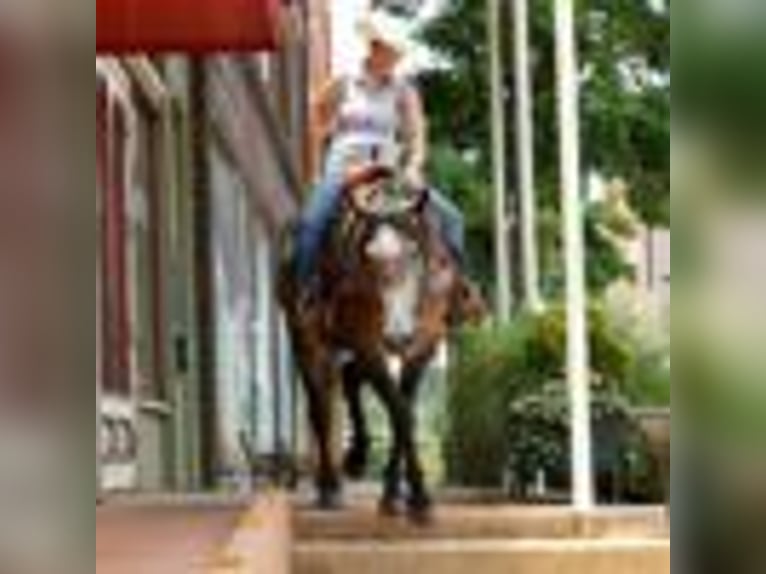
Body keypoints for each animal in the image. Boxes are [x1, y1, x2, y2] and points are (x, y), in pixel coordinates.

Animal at [278, 164, 486, 523]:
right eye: (368, 256)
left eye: (414, 252)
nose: (397, 335)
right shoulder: (368, 343)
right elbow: (400, 412)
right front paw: (419, 498)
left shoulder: (424, 345)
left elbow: (404, 408)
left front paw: (395, 494)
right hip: (306, 337)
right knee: (320, 407)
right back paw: (330, 486)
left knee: (349, 376)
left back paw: (358, 456)